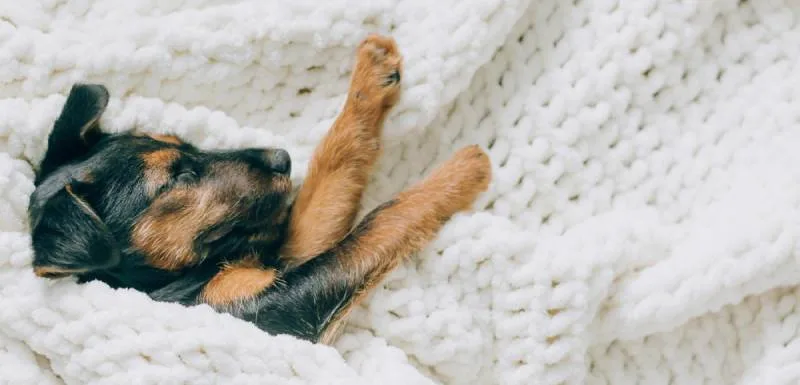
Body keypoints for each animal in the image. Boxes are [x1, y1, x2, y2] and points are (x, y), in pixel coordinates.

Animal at [28, 35, 490, 342]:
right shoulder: (281, 310)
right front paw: (465, 170)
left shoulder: (288, 258)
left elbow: (334, 167)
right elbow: (378, 224)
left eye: (184, 143)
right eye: (177, 178)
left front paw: (373, 73)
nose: (281, 159)